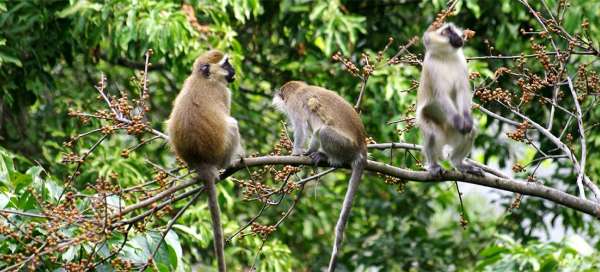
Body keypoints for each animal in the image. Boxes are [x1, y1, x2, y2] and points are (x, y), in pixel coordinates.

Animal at [166, 49, 241, 272]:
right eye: (226, 64)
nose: (234, 71)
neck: (203, 78)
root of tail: (201, 163)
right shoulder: (224, 92)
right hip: (220, 154)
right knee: (232, 124)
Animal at [272, 81, 366, 272]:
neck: (301, 88)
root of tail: (361, 147)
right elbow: (310, 131)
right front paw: (307, 152)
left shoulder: (294, 104)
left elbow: (302, 129)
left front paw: (295, 155)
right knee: (318, 131)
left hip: (343, 146)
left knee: (322, 131)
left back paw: (331, 158)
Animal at [414, 22, 486, 176]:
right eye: (446, 32)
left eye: (451, 29)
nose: (459, 36)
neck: (445, 56)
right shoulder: (431, 67)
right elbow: (441, 96)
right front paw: (459, 121)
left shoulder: (461, 61)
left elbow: (462, 91)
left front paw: (466, 120)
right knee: (432, 135)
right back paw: (434, 165)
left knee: (471, 132)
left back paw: (458, 163)